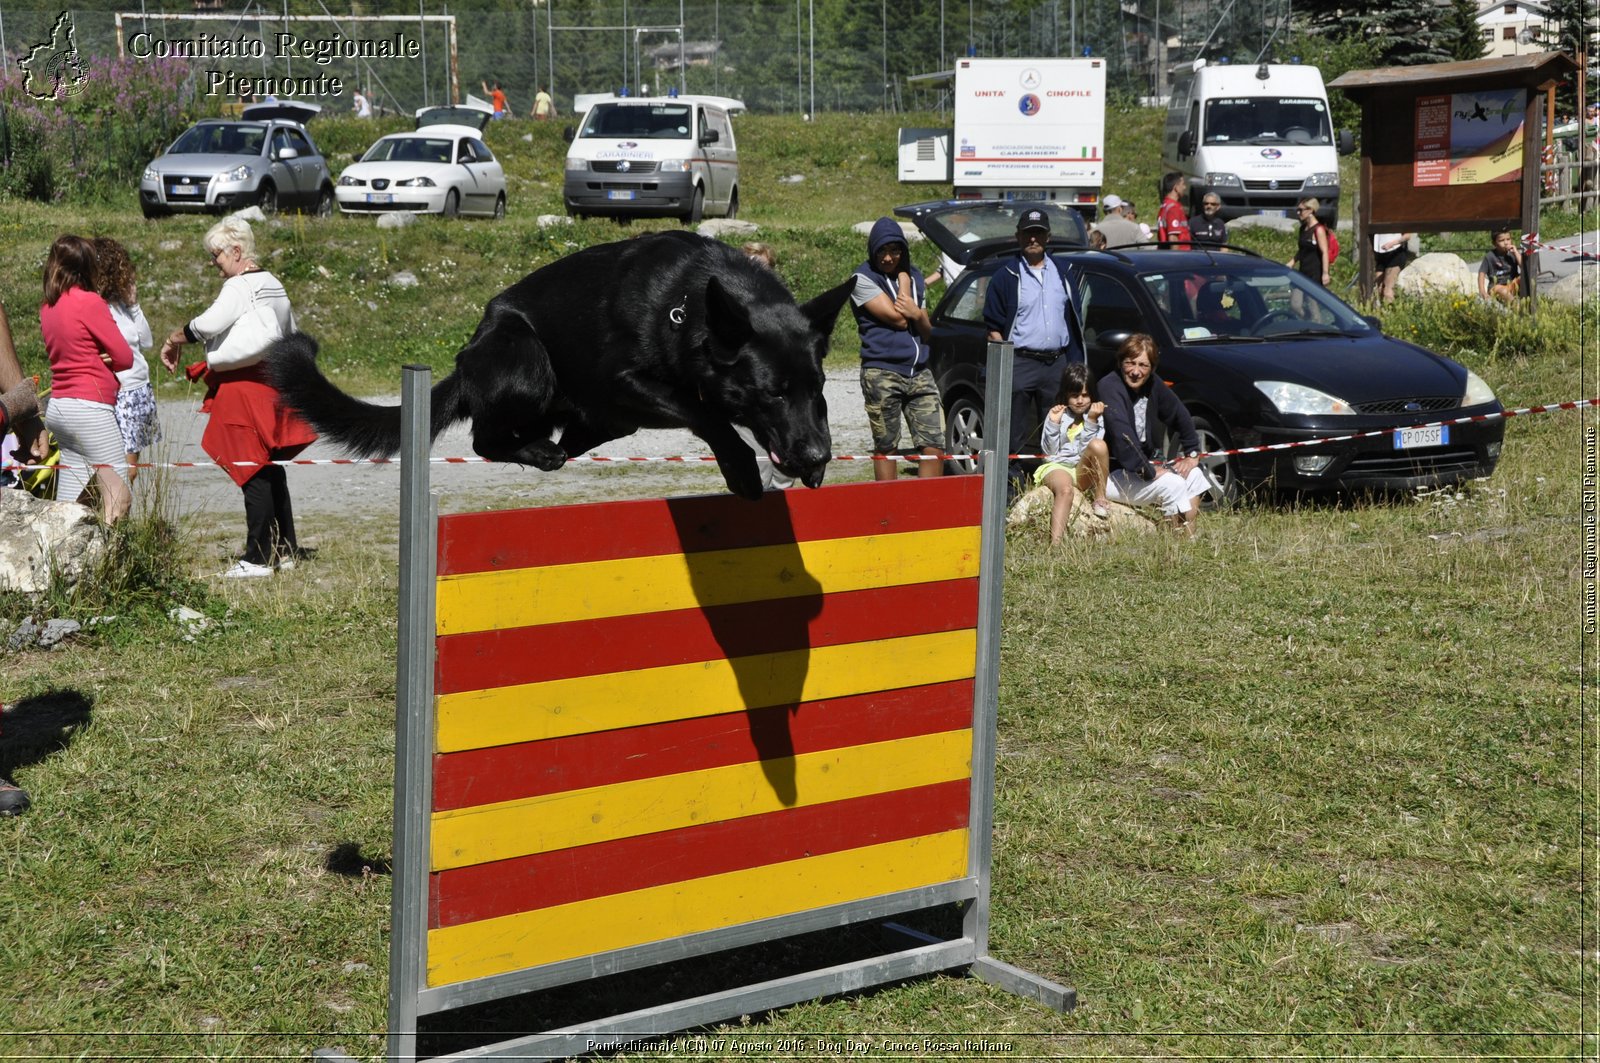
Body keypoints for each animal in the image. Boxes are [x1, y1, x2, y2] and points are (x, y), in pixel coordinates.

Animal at [268, 232, 857, 499]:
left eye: (817, 388)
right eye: (772, 392)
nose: (814, 455)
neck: (687, 309)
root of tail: (467, 355)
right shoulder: (627, 382)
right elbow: (708, 414)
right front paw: (740, 468)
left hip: (603, 418)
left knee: (556, 435)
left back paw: (554, 445)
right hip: (527, 360)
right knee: (485, 438)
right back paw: (538, 451)